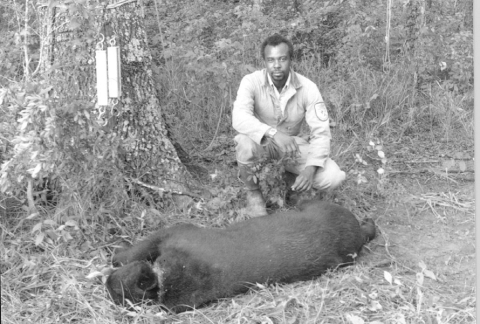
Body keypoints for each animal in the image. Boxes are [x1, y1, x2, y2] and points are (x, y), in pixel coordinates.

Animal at [107, 201, 376, 312]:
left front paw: (116, 253)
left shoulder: (173, 232)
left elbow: (134, 250)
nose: (107, 282)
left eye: (117, 288)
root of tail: (357, 231)